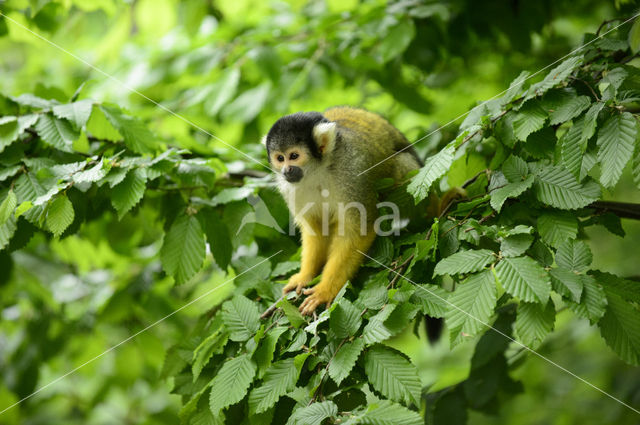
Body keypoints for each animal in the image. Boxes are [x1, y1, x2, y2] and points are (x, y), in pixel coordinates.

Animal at [264, 107, 420, 312]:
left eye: (294, 156)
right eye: (280, 158)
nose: (286, 170)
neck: (317, 172)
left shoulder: (351, 172)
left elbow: (358, 229)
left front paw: (324, 291)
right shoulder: (290, 188)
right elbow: (315, 230)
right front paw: (304, 276)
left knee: (403, 165)